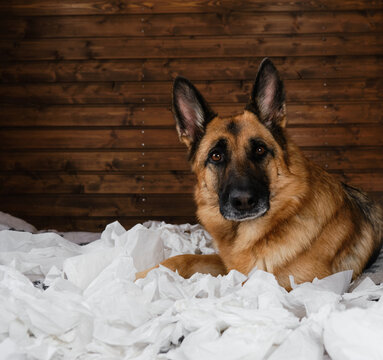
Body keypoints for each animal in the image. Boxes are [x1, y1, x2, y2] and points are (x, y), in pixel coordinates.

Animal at [136, 59, 382, 290]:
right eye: (216, 156)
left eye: (260, 150)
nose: (243, 201)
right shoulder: (230, 267)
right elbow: (184, 258)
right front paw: (143, 274)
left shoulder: (306, 284)